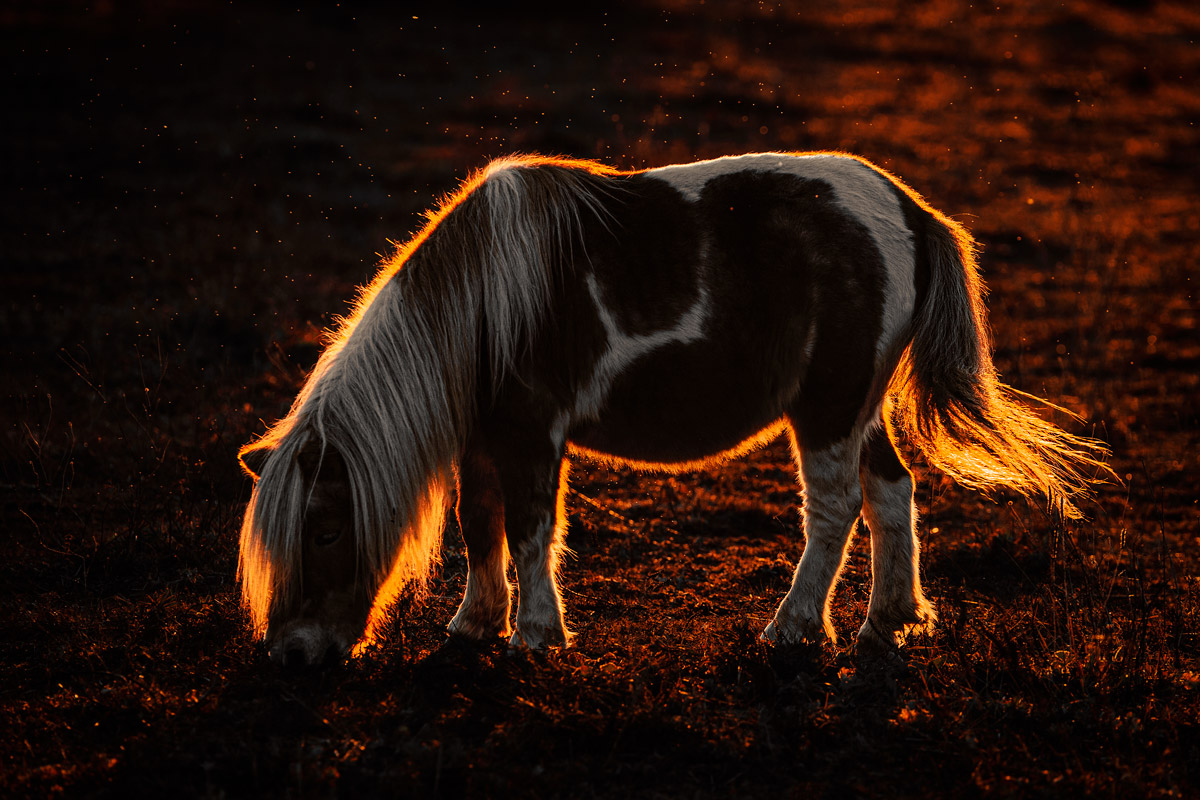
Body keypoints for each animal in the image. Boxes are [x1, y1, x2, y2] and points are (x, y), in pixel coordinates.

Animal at [237, 152, 1110, 667]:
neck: (486, 302)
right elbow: (479, 525)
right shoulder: (485, 439)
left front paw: (535, 636)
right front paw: (475, 624)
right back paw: (888, 621)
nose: (290, 654)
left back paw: (796, 627)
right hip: (857, 409)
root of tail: (910, 211)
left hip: (827, 411)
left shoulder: (532, 435)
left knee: (833, 513)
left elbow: (529, 532)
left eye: (323, 529)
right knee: (892, 495)